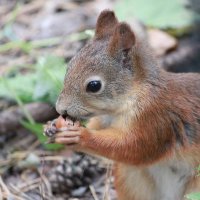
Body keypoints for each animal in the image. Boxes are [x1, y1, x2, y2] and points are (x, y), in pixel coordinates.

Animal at [45, 10, 200, 200]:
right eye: (68, 67)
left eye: (94, 85)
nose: (61, 109)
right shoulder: (104, 119)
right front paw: (51, 125)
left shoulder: (155, 118)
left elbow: (134, 148)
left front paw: (81, 136)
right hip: (131, 178)